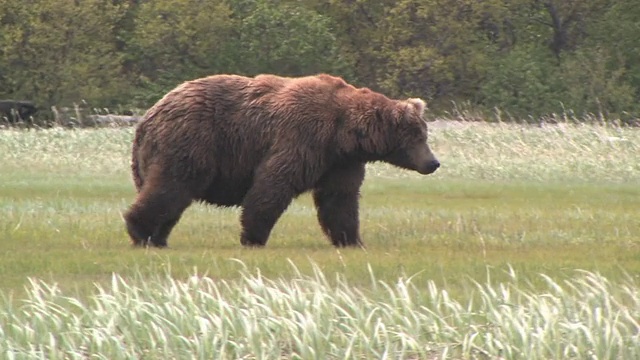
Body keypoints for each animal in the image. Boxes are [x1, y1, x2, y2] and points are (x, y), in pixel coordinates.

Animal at [122, 73, 438, 248]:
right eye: (418, 136)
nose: (433, 163)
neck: (344, 134)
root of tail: (147, 118)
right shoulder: (302, 137)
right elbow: (273, 185)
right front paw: (253, 236)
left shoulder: (339, 163)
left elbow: (339, 200)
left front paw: (352, 240)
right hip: (192, 140)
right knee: (171, 187)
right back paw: (140, 231)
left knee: (172, 196)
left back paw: (159, 237)